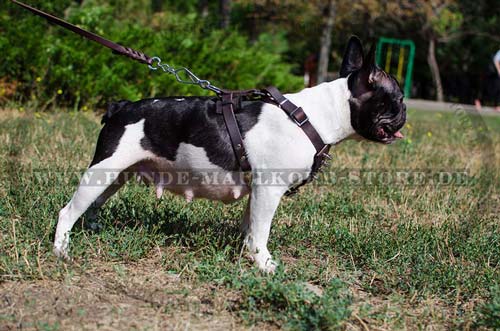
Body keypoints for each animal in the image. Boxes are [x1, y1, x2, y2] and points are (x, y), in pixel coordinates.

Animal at [54, 37, 406, 274]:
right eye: (399, 98)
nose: (405, 113)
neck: (315, 116)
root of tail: (121, 106)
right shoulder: (269, 190)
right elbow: (262, 229)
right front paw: (265, 264)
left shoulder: (257, 193)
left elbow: (250, 227)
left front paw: (248, 255)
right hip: (103, 169)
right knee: (67, 211)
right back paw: (62, 251)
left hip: (114, 174)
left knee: (94, 203)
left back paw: (92, 229)